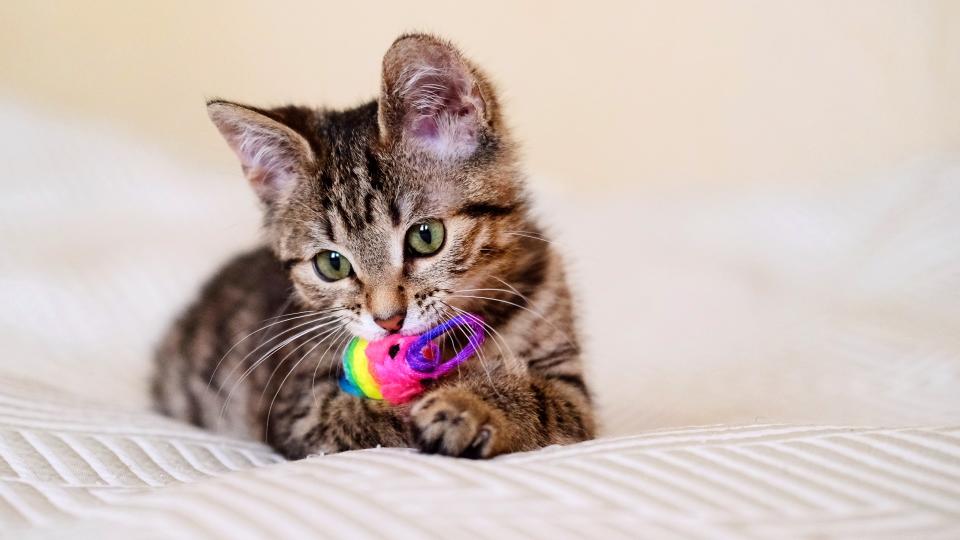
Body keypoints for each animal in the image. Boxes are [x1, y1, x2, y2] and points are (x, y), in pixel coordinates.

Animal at [152, 32, 592, 460]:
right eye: (332, 264)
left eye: (426, 236)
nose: (389, 321)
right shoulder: (300, 408)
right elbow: (366, 412)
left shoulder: (572, 393)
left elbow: (540, 397)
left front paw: (467, 405)